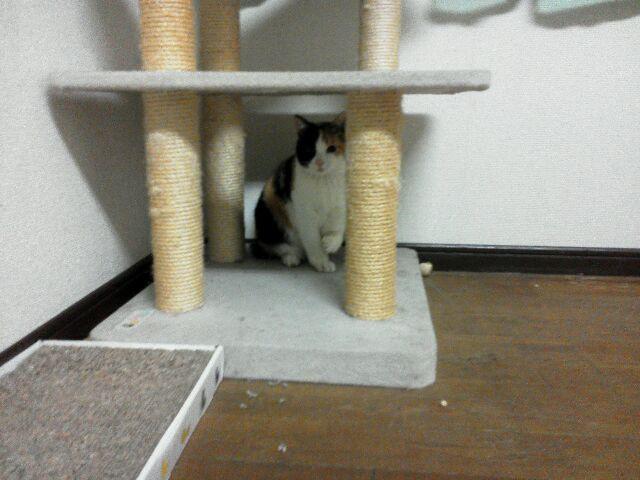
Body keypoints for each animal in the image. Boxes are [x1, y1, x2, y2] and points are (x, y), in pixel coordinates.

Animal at [252, 113, 347, 273]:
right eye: (309, 149)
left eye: (331, 148)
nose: (319, 162)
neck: (323, 181)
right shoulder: (304, 212)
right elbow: (312, 239)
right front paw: (321, 261)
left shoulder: (339, 204)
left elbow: (337, 226)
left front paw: (331, 243)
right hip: (269, 210)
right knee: (278, 247)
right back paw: (292, 257)